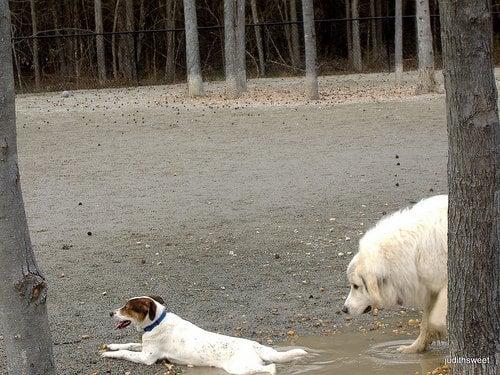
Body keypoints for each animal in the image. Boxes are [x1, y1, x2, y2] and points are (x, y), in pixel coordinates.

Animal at [102, 296, 308, 375]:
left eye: (127, 308)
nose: (110, 313)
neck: (156, 322)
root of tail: (254, 345)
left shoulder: (146, 358)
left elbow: (126, 353)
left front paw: (109, 353)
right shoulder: (144, 348)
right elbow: (128, 345)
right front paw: (111, 346)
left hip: (239, 368)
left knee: (271, 368)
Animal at [342, 195, 448, 354]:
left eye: (355, 286)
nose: (344, 309)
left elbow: (435, 321)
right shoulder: (429, 289)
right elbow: (425, 323)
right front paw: (414, 348)